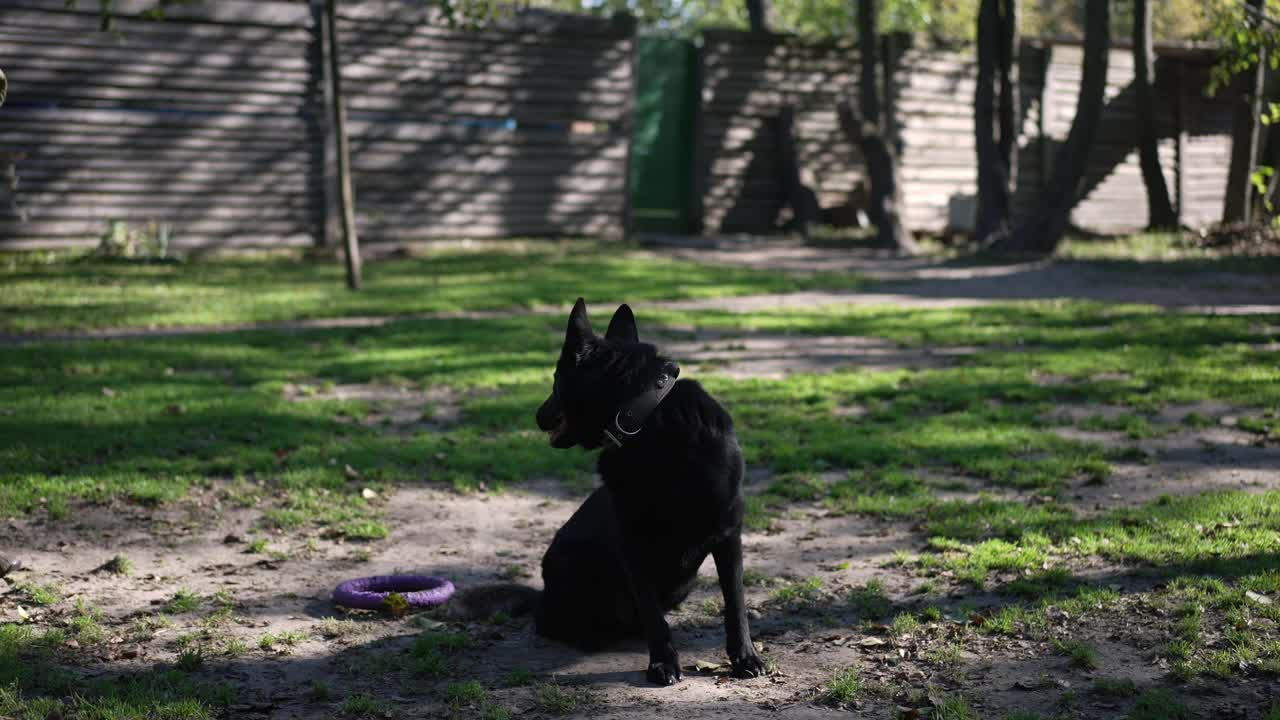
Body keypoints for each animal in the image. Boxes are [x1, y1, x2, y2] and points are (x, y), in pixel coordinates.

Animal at [453, 298, 757, 681]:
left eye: (556, 380)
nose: (536, 415)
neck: (647, 420)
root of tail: (543, 595)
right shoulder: (634, 543)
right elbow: (653, 613)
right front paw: (662, 662)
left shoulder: (728, 533)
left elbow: (735, 603)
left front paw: (744, 656)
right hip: (573, 564)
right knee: (552, 622)